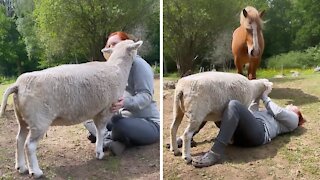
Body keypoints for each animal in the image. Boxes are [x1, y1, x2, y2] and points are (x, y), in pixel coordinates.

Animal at [0, 39, 142, 179]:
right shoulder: (106, 109)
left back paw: (21, 167)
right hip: (39, 119)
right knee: (29, 145)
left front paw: (98, 150)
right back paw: (36, 172)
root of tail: (18, 85)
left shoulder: (96, 111)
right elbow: (101, 132)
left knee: (19, 139)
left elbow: (98, 131)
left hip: (23, 118)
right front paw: (99, 153)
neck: (118, 69)